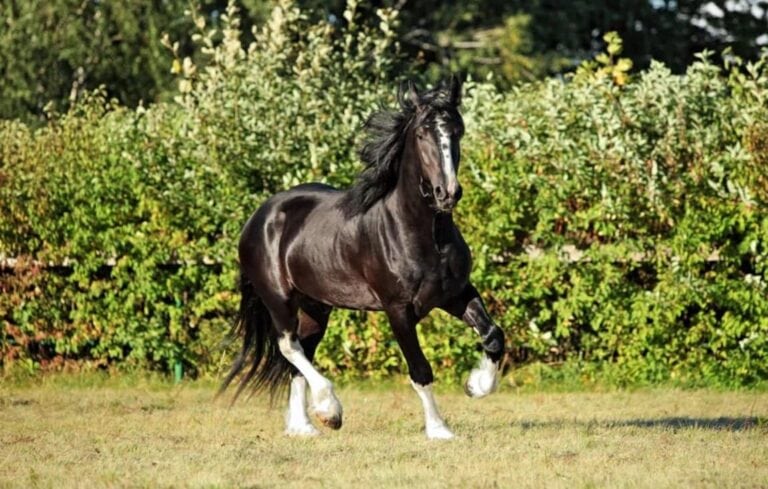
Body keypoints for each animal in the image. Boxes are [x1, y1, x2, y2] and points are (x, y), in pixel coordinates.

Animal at [220, 78, 505, 439]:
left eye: (458, 131)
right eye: (422, 134)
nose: (448, 194)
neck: (426, 234)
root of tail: (260, 216)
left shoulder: (454, 295)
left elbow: (494, 335)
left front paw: (476, 385)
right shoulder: (398, 309)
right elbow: (420, 369)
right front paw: (439, 429)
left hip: (316, 306)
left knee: (300, 353)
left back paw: (304, 426)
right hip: (278, 298)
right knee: (289, 346)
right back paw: (329, 409)